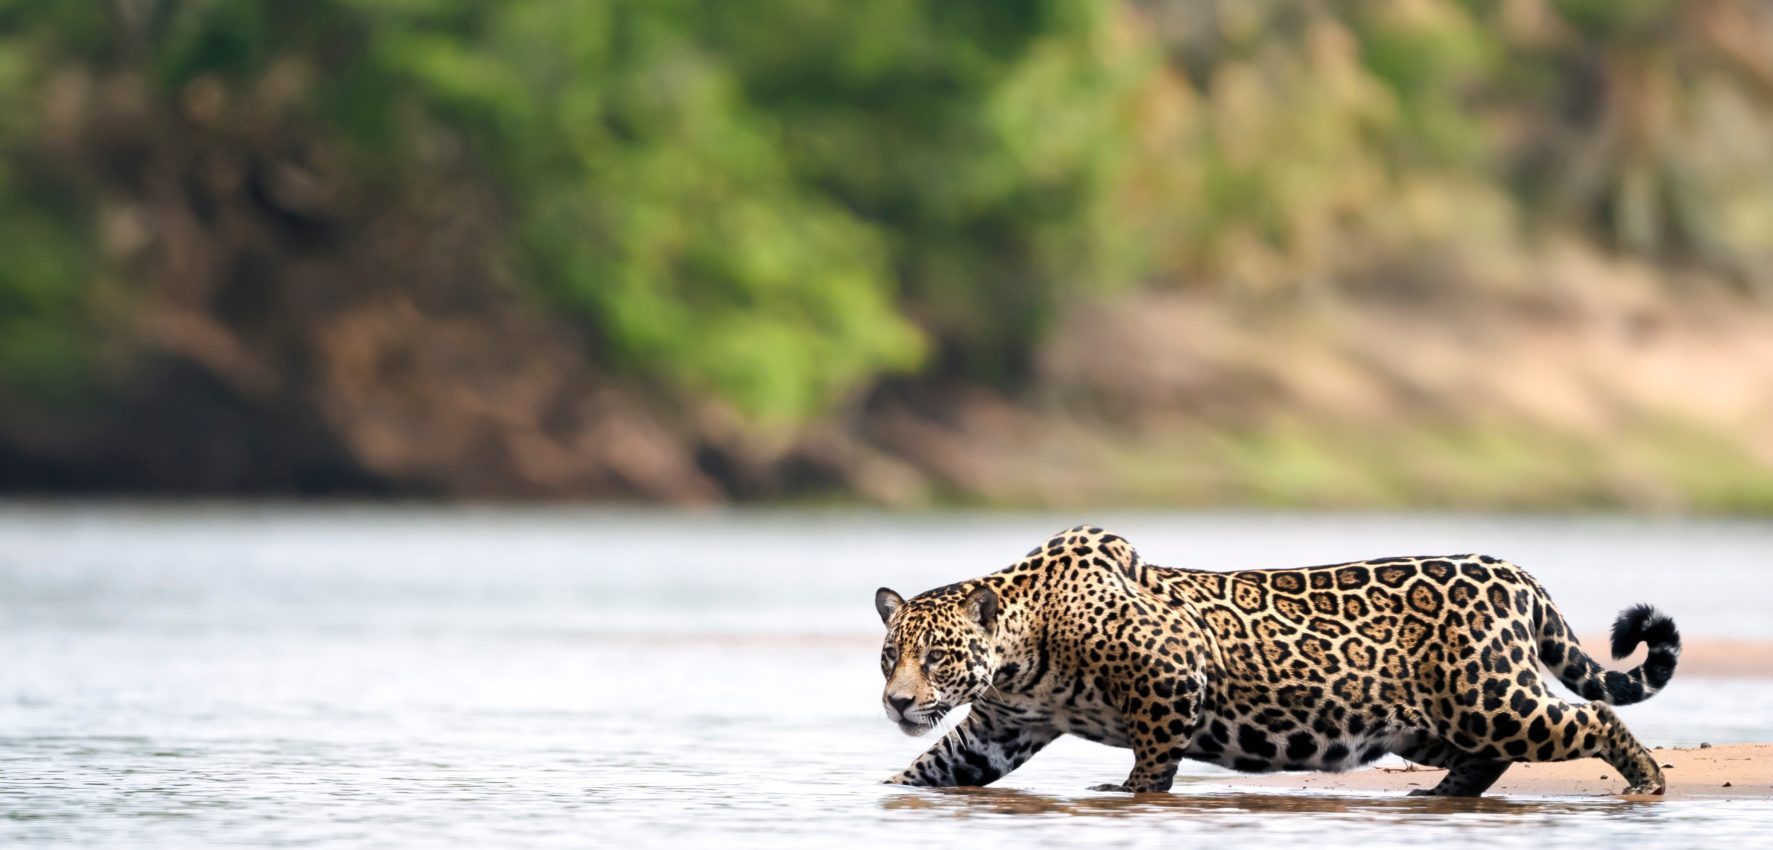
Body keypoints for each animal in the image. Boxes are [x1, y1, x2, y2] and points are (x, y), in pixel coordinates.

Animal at [874, 525, 1680, 797]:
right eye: (889, 657)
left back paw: (1646, 782)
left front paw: (1128, 793)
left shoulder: (1170, 674)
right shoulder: (1000, 729)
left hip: (1488, 699)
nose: (898, 702)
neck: (1024, 642)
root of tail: (1515, 572)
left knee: (1592, 715)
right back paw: (1441, 793)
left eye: (937, 657)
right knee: (1488, 756)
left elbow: (1153, 760)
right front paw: (885, 788)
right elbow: (934, 765)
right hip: (1431, 720)